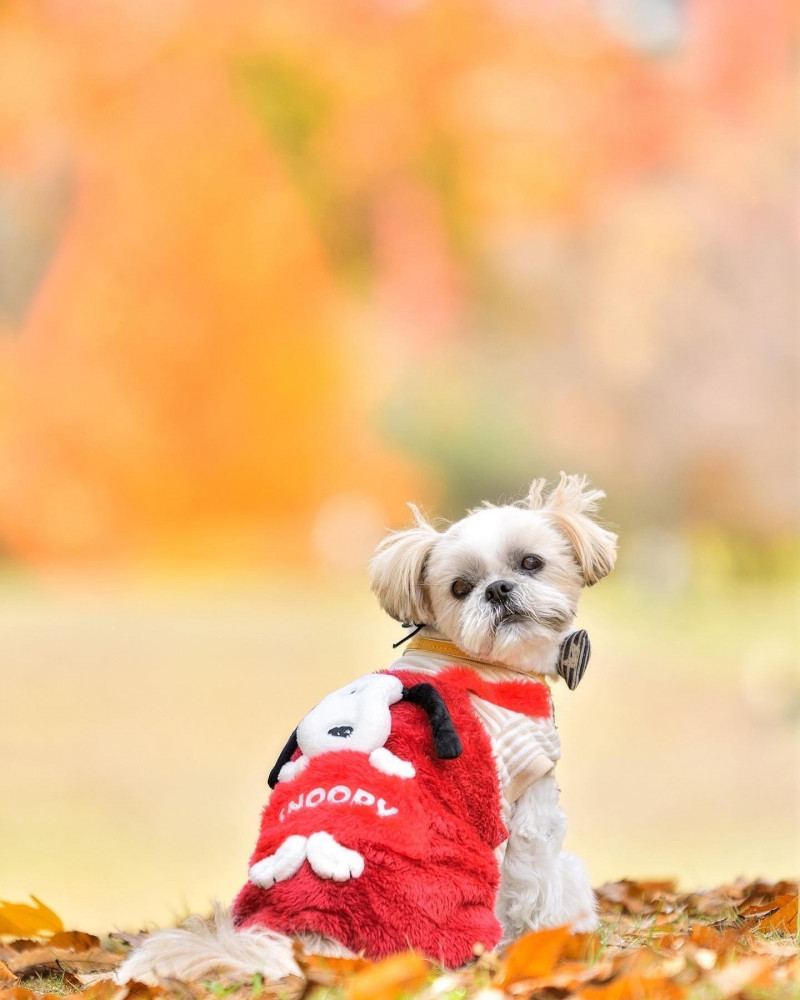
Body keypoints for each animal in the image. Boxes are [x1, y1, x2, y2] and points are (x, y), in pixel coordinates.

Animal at [119, 472, 616, 980]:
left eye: (531, 563)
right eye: (460, 587)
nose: (497, 589)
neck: (476, 658)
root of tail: (313, 934)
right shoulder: (530, 791)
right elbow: (545, 879)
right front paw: (558, 937)